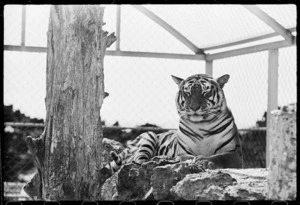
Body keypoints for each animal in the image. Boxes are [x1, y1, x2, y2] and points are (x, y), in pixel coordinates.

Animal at [105, 73, 244, 173]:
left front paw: (205, 161)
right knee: (137, 160)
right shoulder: (182, 152)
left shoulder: (234, 153)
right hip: (149, 135)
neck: (202, 125)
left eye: (206, 92)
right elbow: (187, 157)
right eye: (187, 92)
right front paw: (196, 160)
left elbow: (219, 157)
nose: (194, 108)